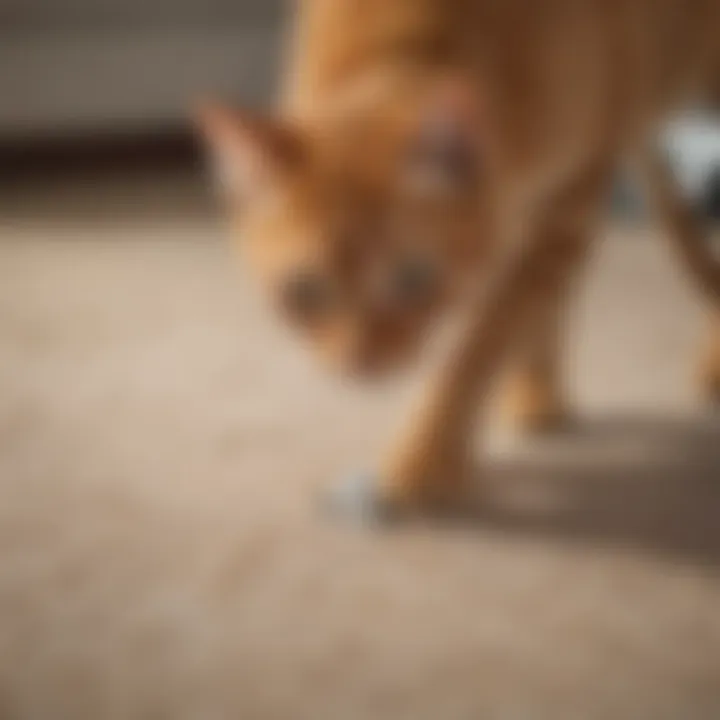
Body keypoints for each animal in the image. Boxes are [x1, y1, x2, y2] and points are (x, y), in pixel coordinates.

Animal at [200, 0, 720, 520]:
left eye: (413, 278)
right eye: (305, 291)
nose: (359, 362)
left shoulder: (570, 194)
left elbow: (483, 346)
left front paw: (424, 461)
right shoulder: (537, 203)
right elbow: (540, 311)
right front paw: (539, 397)